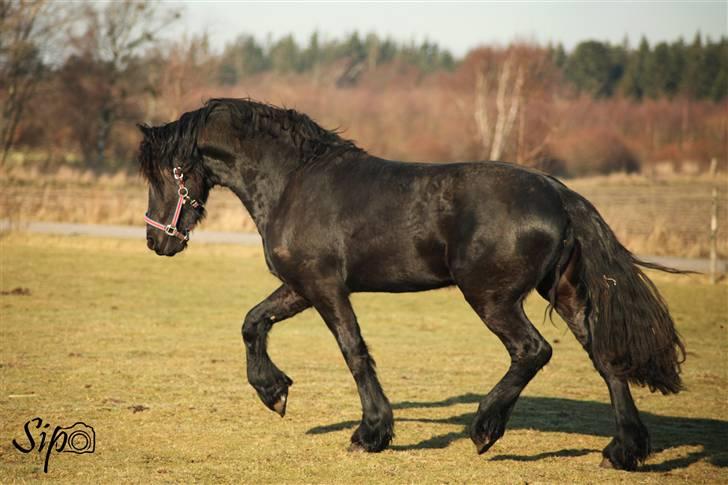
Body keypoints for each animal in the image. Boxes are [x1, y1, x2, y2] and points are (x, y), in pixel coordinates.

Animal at [139, 97, 684, 468]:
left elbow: (353, 351)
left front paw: (371, 432)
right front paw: (274, 392)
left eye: (170, 171)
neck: (293, 182)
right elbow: (253, 322)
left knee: (533, 351)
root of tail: (560, 194)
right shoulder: (299, 286)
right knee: (607, 359)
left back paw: (485, 428)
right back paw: (623, 450)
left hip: (492, 299)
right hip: (566, 294)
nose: (157, 240)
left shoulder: (325, 288)